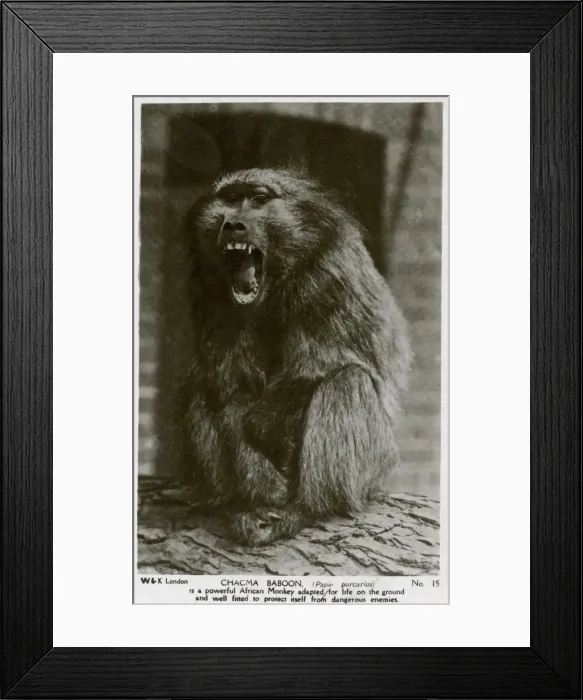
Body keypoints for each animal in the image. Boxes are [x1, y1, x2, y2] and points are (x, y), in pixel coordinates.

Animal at [180, 168, 412, 546]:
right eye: (230, 199)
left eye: (259, 200)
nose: (233, 224)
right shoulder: (211, 291)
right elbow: (231, 387)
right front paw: (259, 486)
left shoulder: (328, 275)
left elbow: (316, 367)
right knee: (201, 383)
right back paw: (241, 503)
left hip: (377, 467)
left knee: (347, 382)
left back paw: (310, 509)